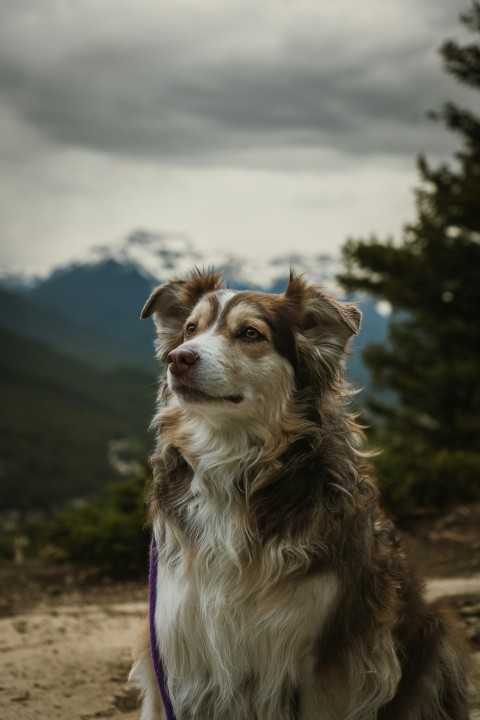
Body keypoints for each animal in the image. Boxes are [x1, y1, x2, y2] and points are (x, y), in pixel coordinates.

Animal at [129, 272, 470, 720]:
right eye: (190, 328)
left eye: (250, 333)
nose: (178, 358)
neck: (233, 468)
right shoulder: (174, 646)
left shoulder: (325, 659)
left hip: (438, 641)